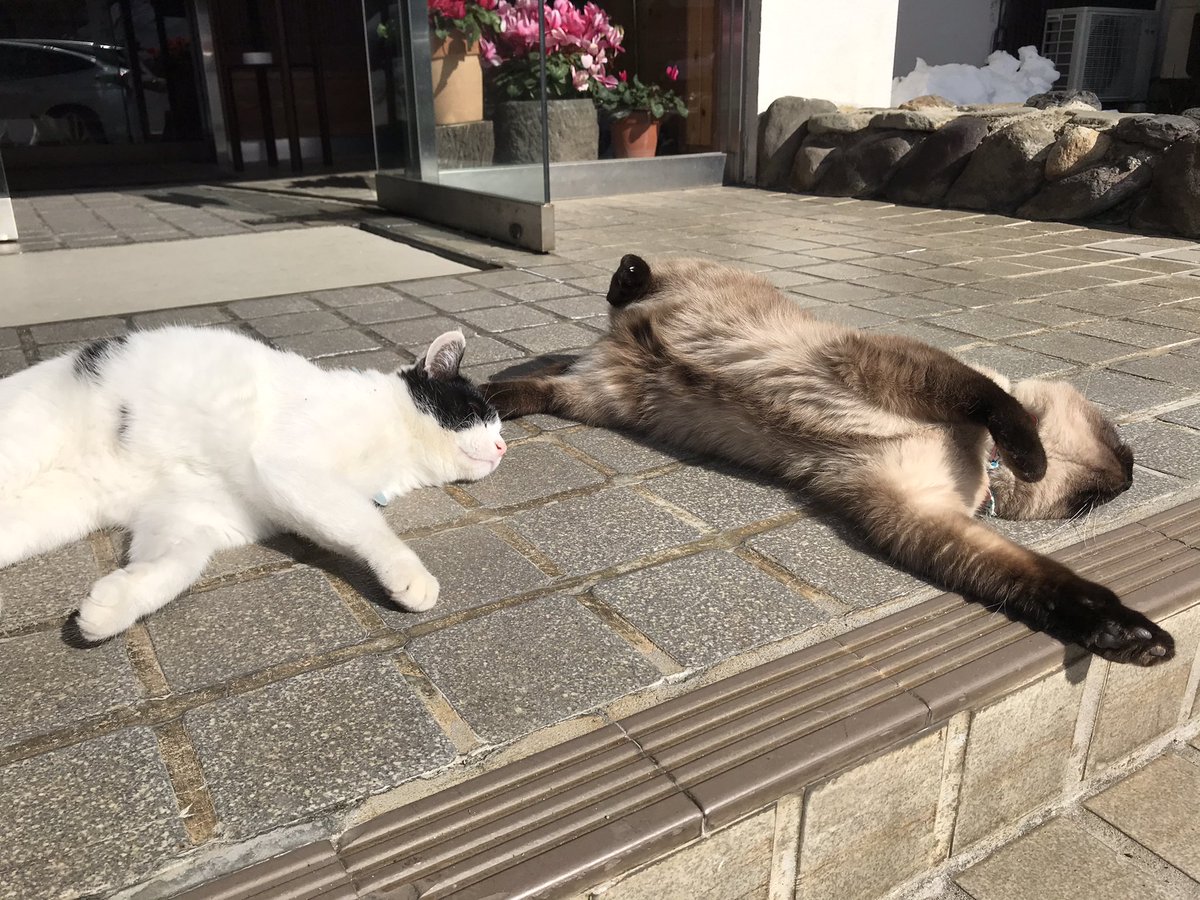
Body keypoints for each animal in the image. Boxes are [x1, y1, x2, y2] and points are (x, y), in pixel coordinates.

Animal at [0, 326, 505, 642]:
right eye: (477, 415)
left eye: (500, 427)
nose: (503, 447)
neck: (396, 452)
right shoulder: (288, 462)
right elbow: (363, 524)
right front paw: (408, 573)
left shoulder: (190, 513)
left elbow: (181, 563)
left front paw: (116, 604)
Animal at [483, 254, 1175, 667]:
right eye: (1118, 454)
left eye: (1100, 496)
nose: (1132, 476)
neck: (984, 463)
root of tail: (617, 347)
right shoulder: (896, 371)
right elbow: (997, 402)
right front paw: (1032, 458)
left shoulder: (923, 516)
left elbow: (1046, 582)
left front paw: (1131, 638)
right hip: (680, 301)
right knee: (635, 282)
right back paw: (621, 281)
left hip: (603, 401)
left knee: (546, 383)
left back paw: (490, 395)